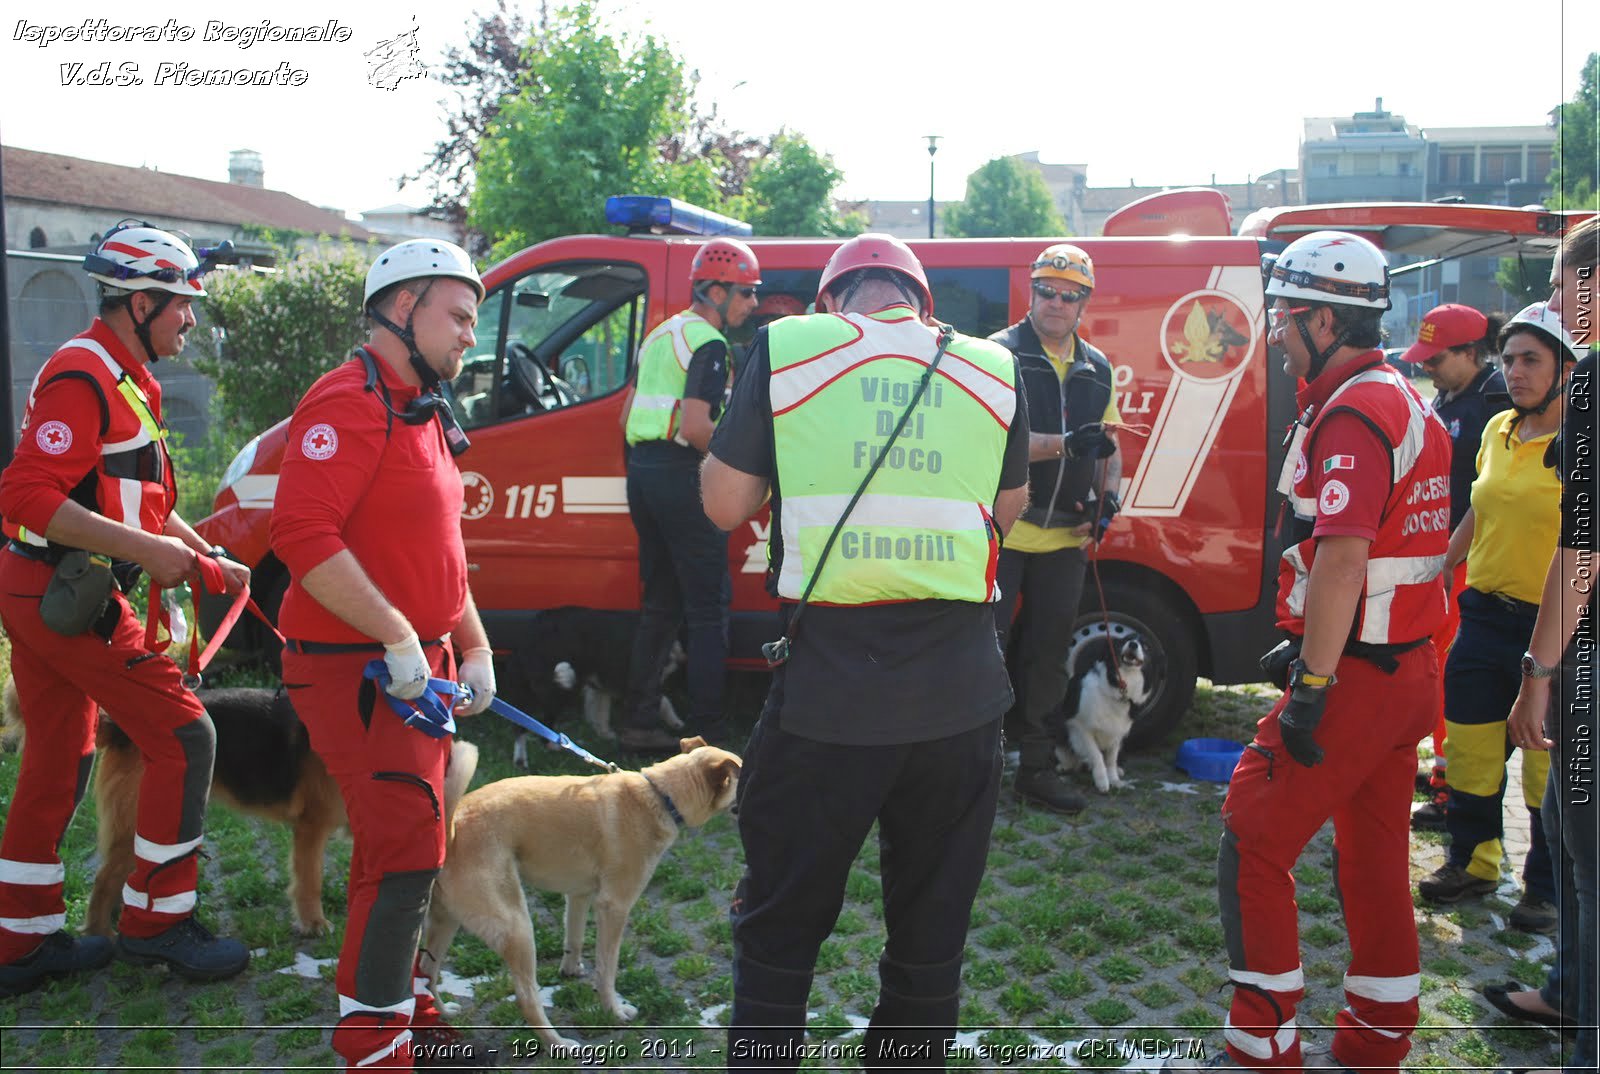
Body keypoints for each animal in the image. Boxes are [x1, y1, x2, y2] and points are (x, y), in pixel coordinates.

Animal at [425, 739, 748, 1049]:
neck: (659, 795)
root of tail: (451, 828)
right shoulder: (614, 906)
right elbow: (606, 969)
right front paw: (614, 1011)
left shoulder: (578, 895)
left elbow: (575, 938)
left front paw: (571, 970)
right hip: (517, 927)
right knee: (526, 999)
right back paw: (559, 1045)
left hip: (445, 923)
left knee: (427, 975)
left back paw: (443, 1014)